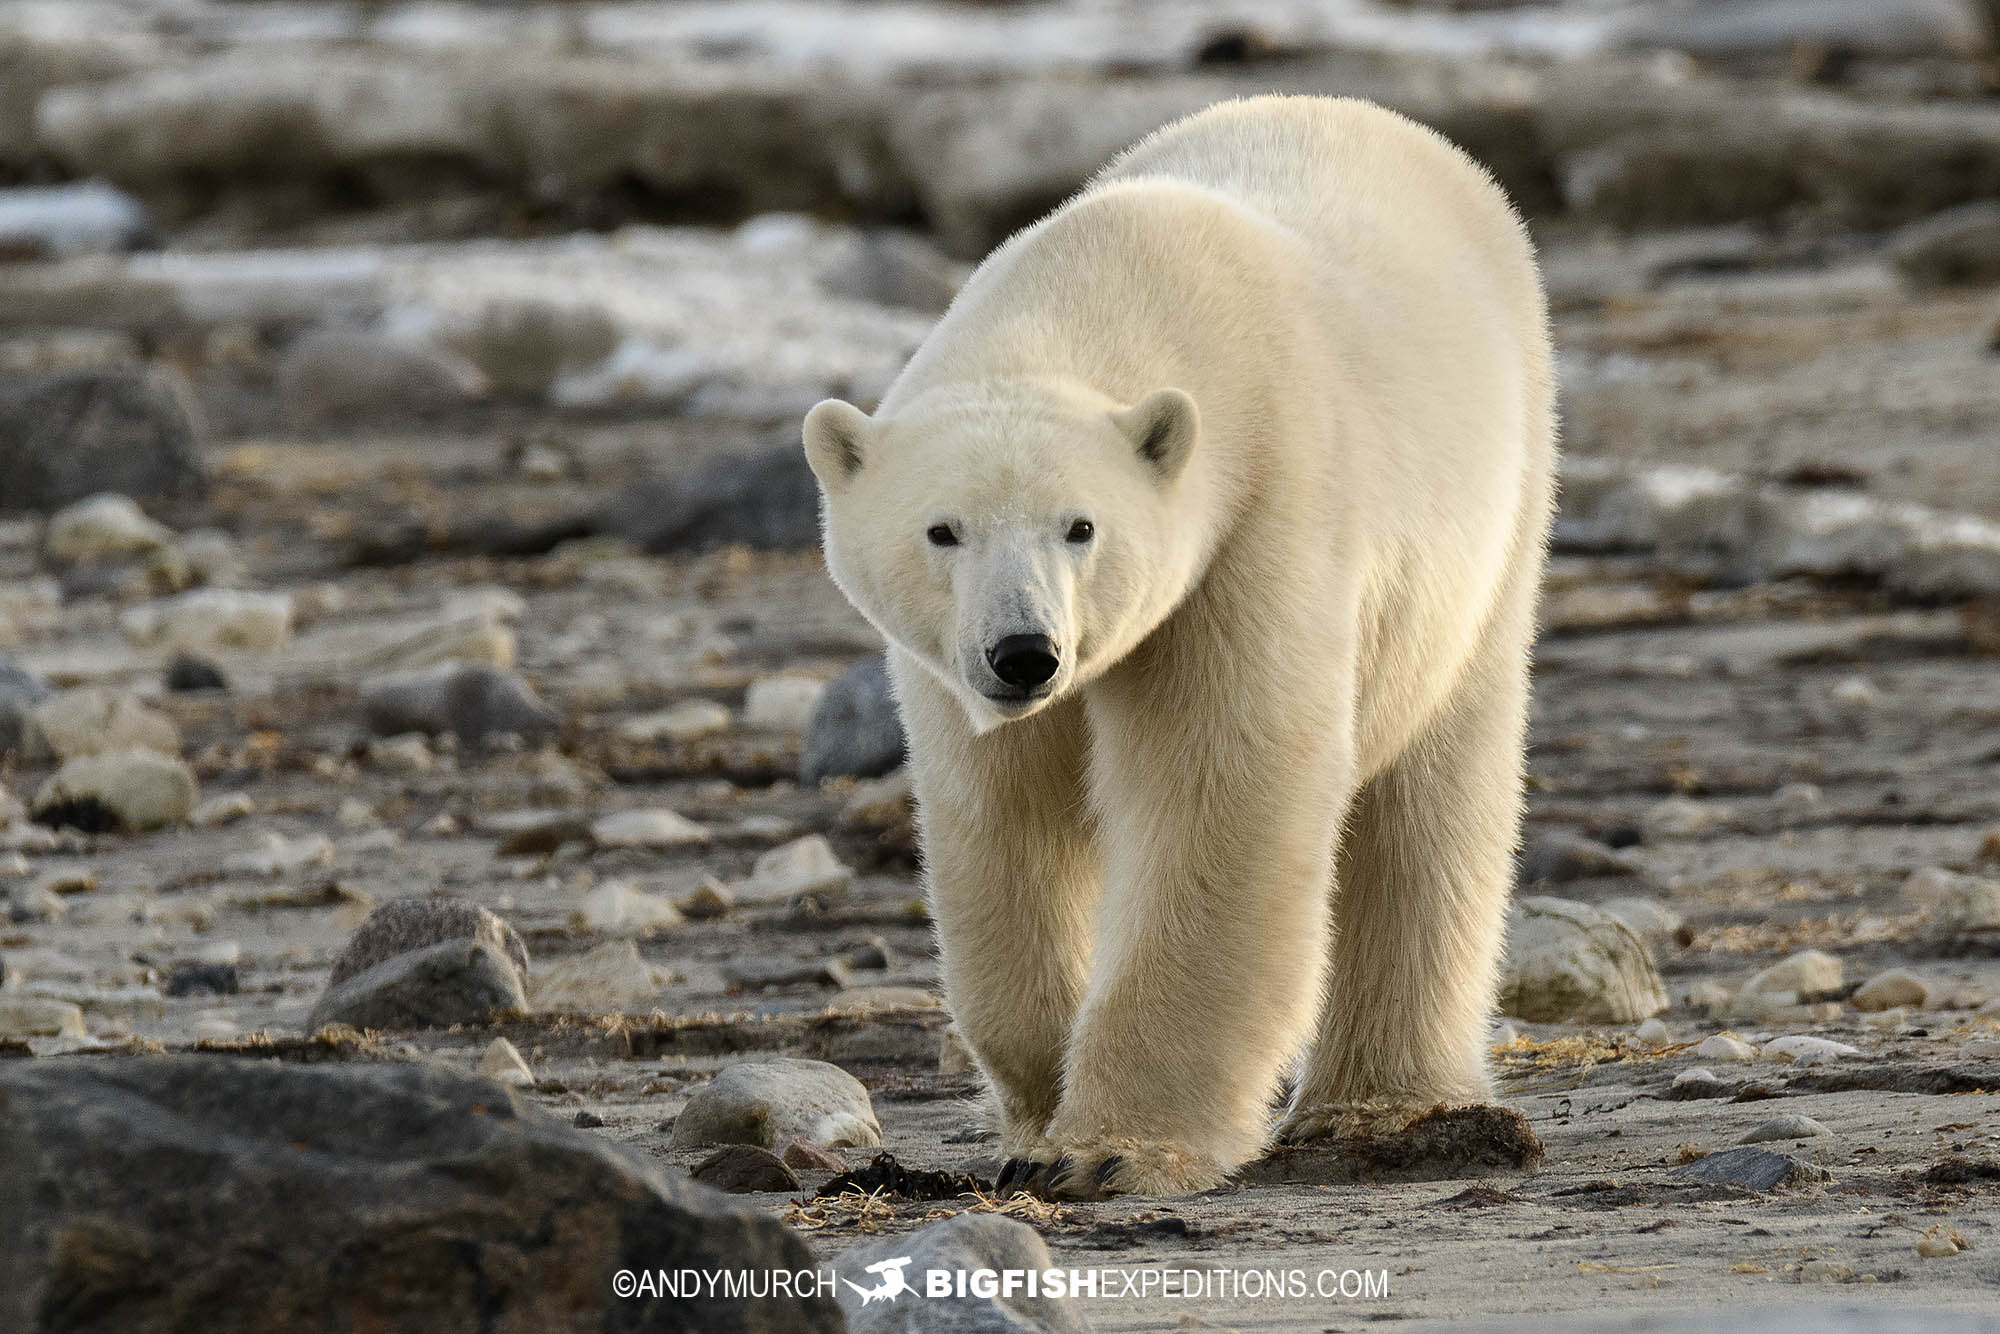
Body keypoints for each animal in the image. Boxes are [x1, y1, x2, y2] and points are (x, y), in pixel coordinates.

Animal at [801, 95, 1556, 1199]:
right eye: (942, 530)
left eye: (1080, 526)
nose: (1024, 652)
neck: (1109, 286)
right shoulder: (951, 679)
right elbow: (1002, 816)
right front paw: (1034, 1103)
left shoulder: (1255, 523)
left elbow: (1224, 785)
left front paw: (1112, 1146)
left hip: (1492, 527)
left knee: (1433, 790)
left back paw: (1383, 1101)